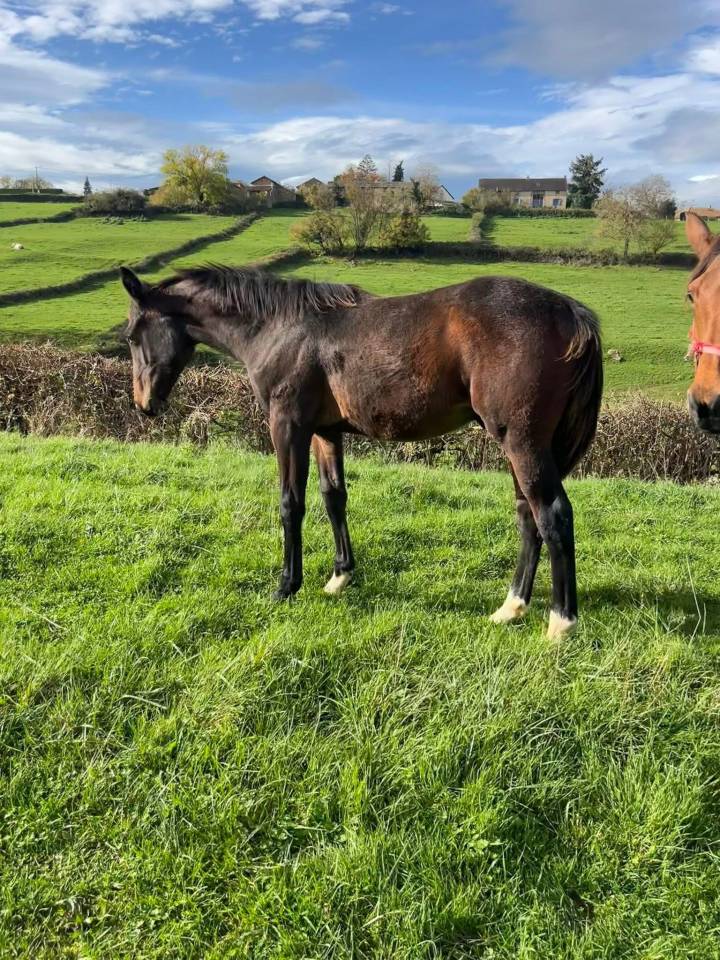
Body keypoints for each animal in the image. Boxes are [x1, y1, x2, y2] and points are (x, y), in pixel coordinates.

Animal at [119, 264, 602, 639]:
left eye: (131, 335)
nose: (144, 405)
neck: (280, 329)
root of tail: (569, 312)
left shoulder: (287, 426)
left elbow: (290, 503)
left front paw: (286, 585)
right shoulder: (325, 433)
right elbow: (333, 498)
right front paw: (340, 576)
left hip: (522, 443)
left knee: (551, 514)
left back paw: (560, 622)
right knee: (528, 516)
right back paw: (512, 606)